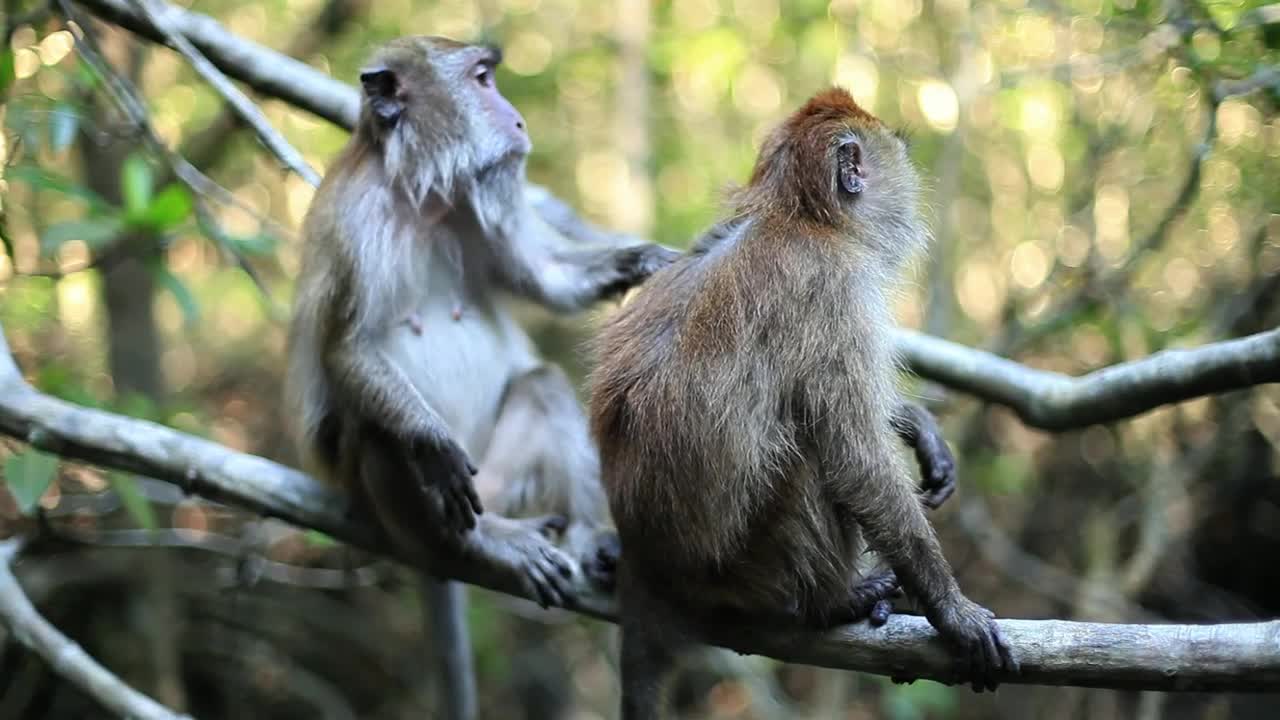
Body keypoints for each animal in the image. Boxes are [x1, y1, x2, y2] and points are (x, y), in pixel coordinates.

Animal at [281, 36, 680, 712]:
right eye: (482, 80)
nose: (516, 119)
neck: (419, 198)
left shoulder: (478, 202)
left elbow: (543, 278)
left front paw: (644, 260)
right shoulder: (354, 225)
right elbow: (348, 349)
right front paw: (431, 440)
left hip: (495, 476)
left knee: (542, 385)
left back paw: (588, 540)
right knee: (377, 430)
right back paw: (476, 541)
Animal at [591, 87, 1018, 712]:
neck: (797, 218)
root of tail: (646, 560)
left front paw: (916, 423)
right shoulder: (834, 288)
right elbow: (856, 461)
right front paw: (953, 613)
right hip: (747, 569)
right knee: (810, 454)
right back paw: (833, 602)